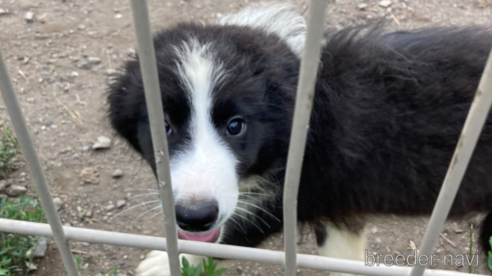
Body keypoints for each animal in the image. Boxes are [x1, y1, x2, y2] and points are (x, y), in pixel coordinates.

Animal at [107, 2, 492, 276]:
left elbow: (232, 233)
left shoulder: (300, 189)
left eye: (236, 126)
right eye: (165, 126)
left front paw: (168, 261)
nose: (194, 216)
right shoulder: (334, 206)